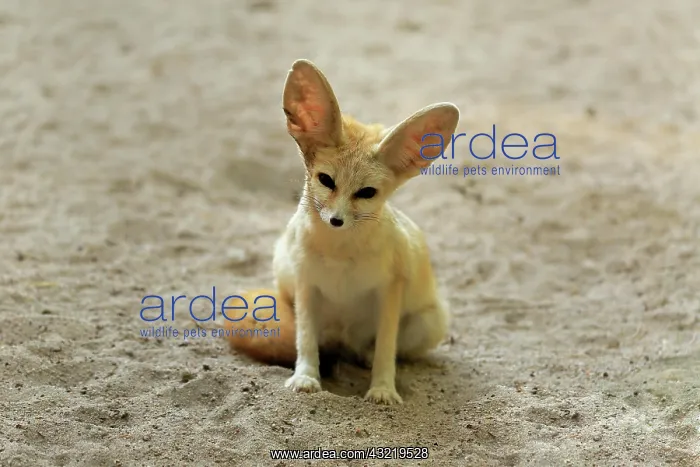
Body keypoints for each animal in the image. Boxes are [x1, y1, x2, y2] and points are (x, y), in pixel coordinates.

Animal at [225, 59, 459, 405]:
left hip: (429, 323)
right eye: (326, 180)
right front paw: (306, 377)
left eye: (366, 193)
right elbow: (305, 340)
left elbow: (386, 349)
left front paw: (383, 389)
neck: (339, 253)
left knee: (371, 351)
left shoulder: (389, 291)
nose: (336, 220)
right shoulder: (306, 285)